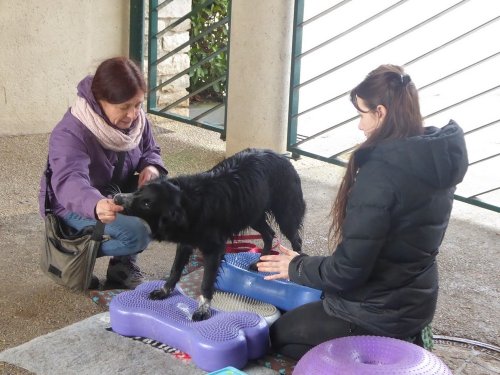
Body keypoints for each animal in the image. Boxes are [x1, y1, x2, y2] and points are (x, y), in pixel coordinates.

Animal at [115, 148, 306, 322]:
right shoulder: (185, 243)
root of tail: (283, 157)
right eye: (138, 189)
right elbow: (175, 269)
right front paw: (164, 291)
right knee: (269, 234)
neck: (188, 203)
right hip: (253, 214)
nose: (117, 198)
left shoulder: (214, 250)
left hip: (285, 215)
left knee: (296, 240)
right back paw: (259, 262)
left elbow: (206, 282)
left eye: (147, 203)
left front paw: (203, 309)